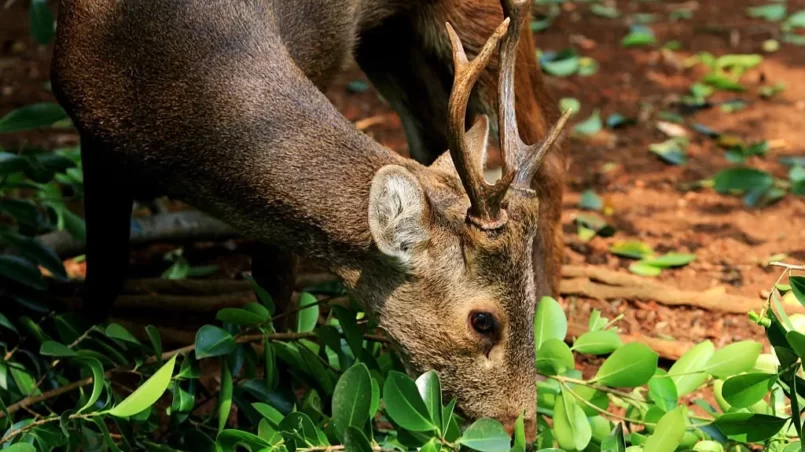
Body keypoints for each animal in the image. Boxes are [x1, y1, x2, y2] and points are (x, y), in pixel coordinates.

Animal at [50, 0, 564, 442]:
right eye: (483, 322)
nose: (523, 430)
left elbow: (274, 302)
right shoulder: (92, 131)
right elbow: (103, 280)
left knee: (546, 138)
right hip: (388, 41)